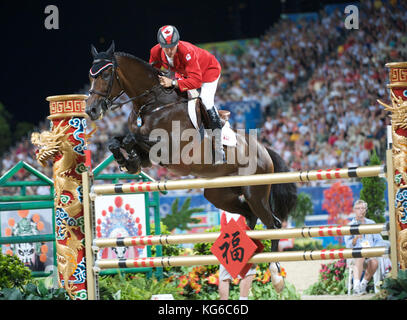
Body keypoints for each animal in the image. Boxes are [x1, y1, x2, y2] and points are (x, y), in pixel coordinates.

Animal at [85, 40, 296, 290]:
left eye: (106, 74)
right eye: (90, 75)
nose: (91, 110)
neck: (154, 104)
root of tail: (265, 150)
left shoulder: (170, 150)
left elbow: (130, 139)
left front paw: (130, 159)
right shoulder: (149, 153)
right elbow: (116, 142)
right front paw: (128, 162)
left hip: (255, 192)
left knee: (272, 223)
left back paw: (275, 275)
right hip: (219, 194)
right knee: (249, 217)